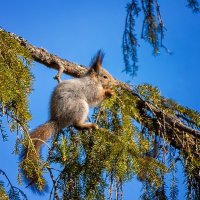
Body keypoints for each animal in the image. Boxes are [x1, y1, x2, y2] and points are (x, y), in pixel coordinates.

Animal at [20, 50, 115, 191]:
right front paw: (109, 92)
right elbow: (97, 97)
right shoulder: (91, 89)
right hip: (80, 106)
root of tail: (58, 119)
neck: (92, 79)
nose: (115, 84)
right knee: (76, 125)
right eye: (104, 77)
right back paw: (88, 126)